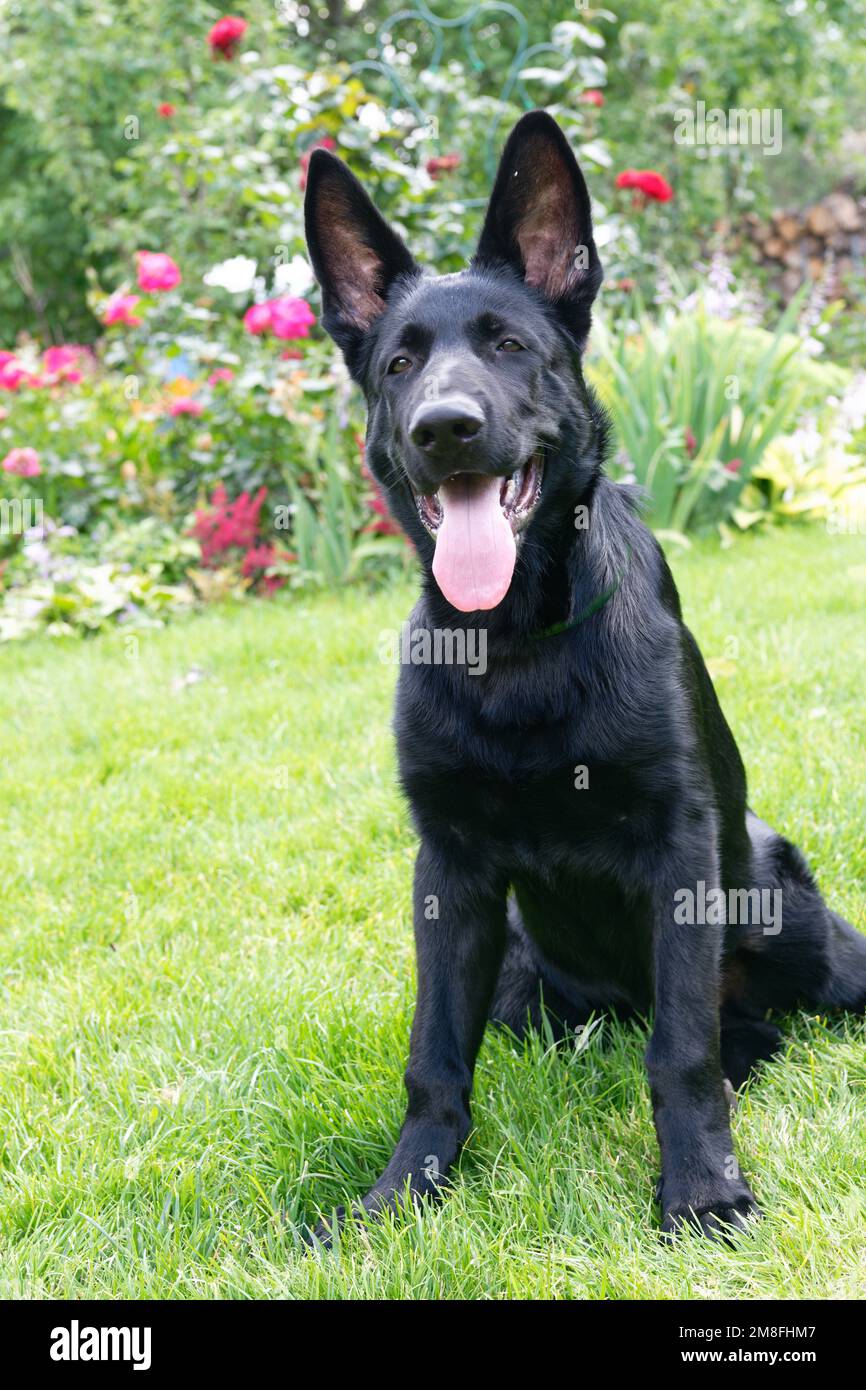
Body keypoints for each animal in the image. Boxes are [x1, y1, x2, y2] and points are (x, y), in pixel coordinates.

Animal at [301, 108, 861, 1239]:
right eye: (399, 363)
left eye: (510, 346)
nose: (445, 428)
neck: (518, 643)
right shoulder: (450, 873)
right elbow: (433, 1061)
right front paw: (402, 1193)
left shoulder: (679, 848)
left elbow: (679, 1053)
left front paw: (699, 1191)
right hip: (519, 962)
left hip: (783, 911)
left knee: (741, 1022)